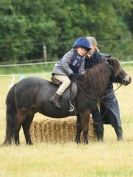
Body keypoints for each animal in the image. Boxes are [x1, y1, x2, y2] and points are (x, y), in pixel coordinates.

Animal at [3, 58, 131, 145]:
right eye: (119, 68)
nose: (129, 79)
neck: (87, 86)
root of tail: (17, 84)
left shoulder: (80, 114)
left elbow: (79, 127)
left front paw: (78, 142)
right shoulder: (85, 112)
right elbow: (85, 128)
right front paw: (86, 143)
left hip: (31, 112)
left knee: (25, 127)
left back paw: (30, 144)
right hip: (23, 111)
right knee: (17, 126)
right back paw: (17, 144)